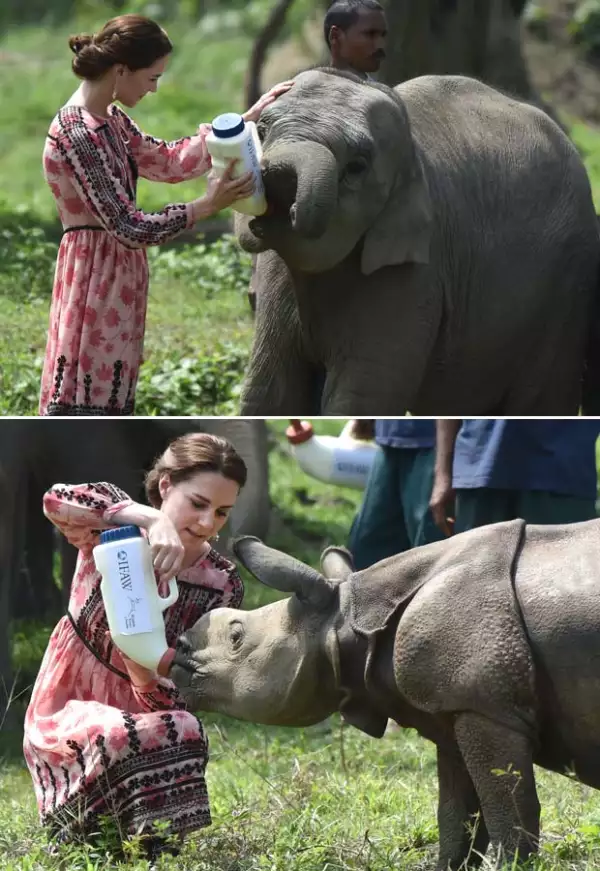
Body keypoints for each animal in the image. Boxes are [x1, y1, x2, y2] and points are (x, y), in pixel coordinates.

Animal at [171, 520, 600, 869]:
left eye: (237, 637)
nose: (178, 649)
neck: (344, 621)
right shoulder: (454, 705)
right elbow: (457, 814)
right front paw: (447, 866)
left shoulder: (487, 706)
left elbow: (510, 812)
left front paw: (513, 865)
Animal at [236, 68, 600, 415]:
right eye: (262, 132)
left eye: (357, 167)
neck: (412, 151)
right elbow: (270, 392)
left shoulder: (414, 270)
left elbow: (363, 398)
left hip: (564, 290)